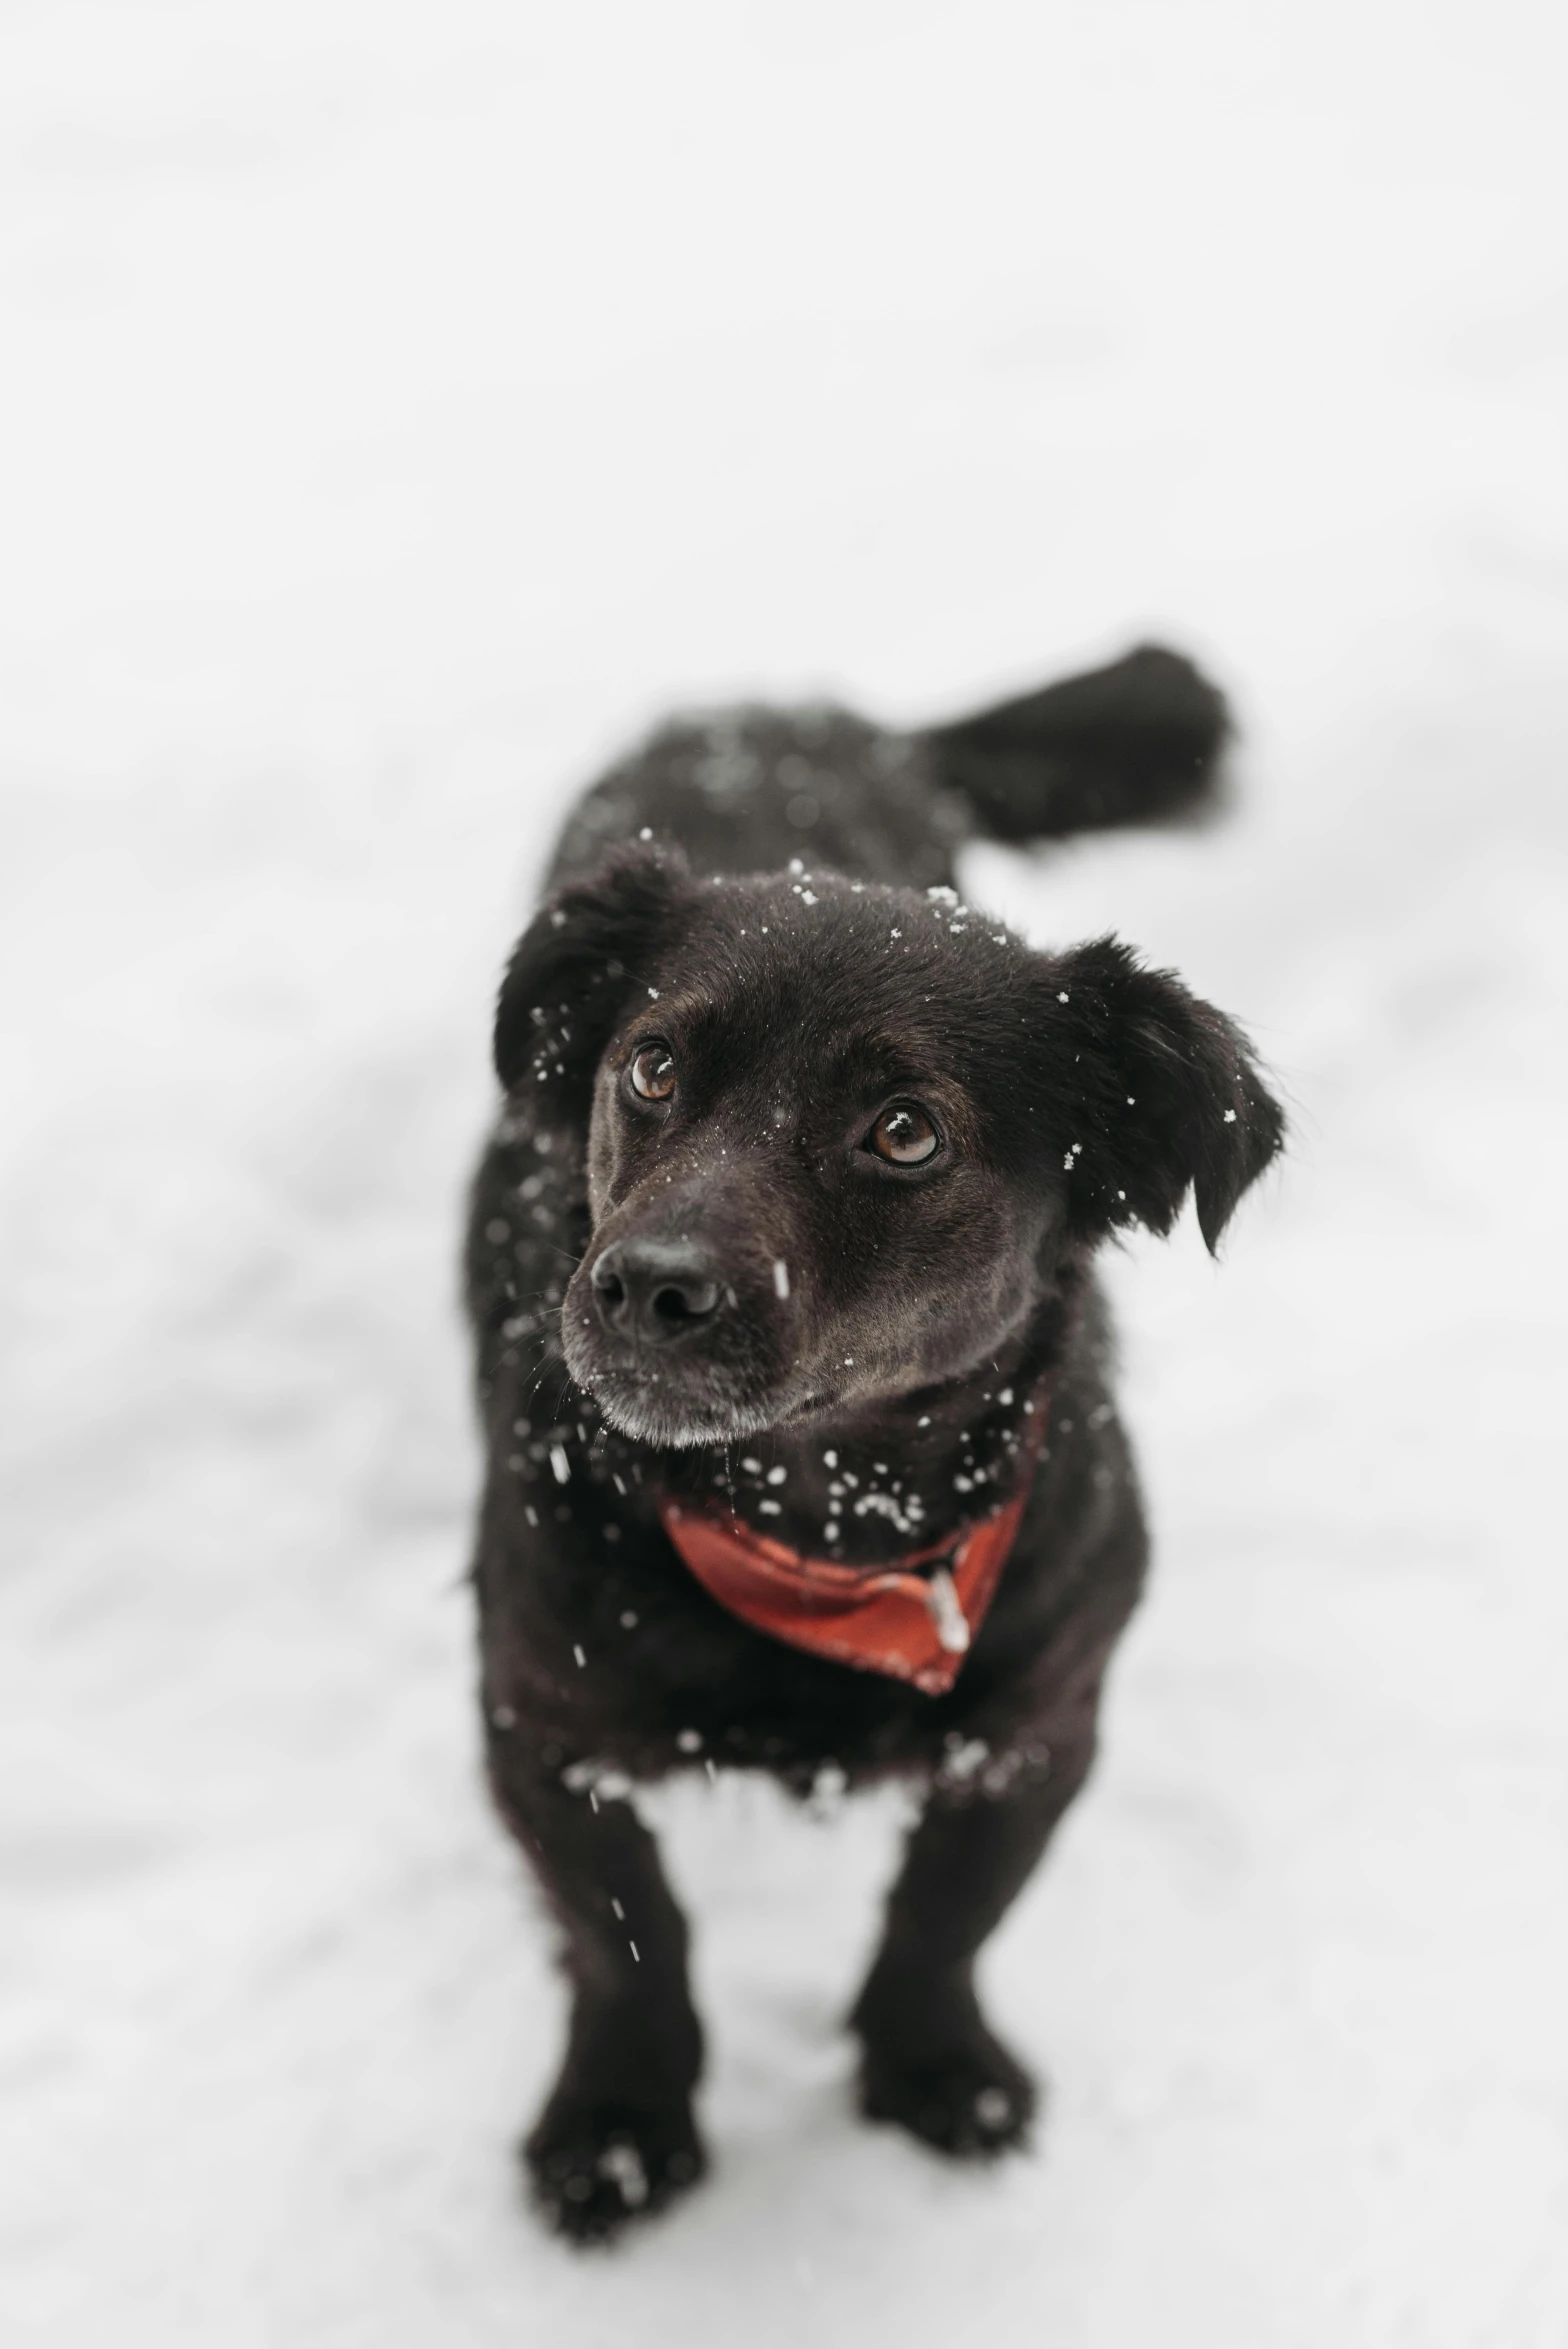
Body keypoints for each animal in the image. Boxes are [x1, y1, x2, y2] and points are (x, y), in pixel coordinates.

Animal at [469, 643, 1286, 2236]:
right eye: (651, 1066)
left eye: (904, 1131)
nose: (643, 1284)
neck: (819, 1525)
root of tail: (785, 707)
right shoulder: (537, 1724)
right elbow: (625, 1934)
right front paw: (618, 2121)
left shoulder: (1036, 1729)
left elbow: (942, 1920)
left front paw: (931, 2069)